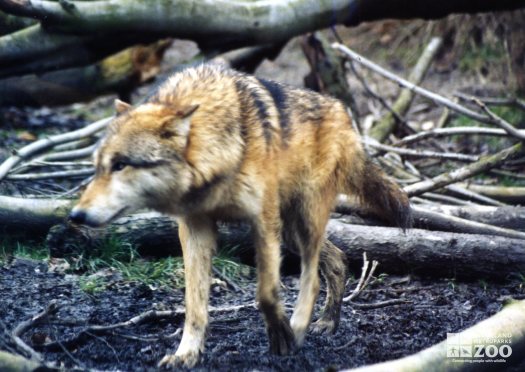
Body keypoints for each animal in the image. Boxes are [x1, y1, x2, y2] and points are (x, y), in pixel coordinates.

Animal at [69, 63, 412, 366]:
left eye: (121, 165)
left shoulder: (262, 221)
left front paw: (282, 336)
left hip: (304, 220)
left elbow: (266, 293)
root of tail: (343, 112)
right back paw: (328, 322)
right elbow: (194, 304)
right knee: (338, 260)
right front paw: (186, 354)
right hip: (290, 232)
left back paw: (301, 326)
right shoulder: (194, 228)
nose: (75, 215)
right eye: (97, 167)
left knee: (312, 278)